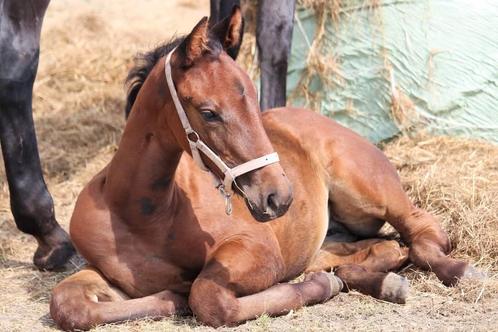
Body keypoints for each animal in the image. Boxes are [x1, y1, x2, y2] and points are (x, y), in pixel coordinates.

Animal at [0, 0, 294, 270]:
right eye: (209, 113)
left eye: (251, 94)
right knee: (16, 62)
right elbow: (275, 40)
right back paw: (49, 235)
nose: (278, 196)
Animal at [49, 9, 482, 330]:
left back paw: (460, 271)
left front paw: (317, 288)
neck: (146, 214)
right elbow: (67, 304)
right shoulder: (107, 274)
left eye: (255, 98)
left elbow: (209, 299)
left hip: (369, 189)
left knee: (423, 233)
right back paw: (380, 281)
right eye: (209, 112)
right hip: (331, 239)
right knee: (385, 248)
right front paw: (171, 296)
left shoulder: (257, 250)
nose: (279, 197)